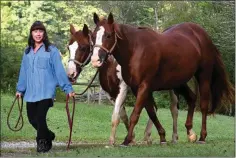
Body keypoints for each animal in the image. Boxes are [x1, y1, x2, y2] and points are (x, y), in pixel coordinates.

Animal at [90, 12, 234, 146]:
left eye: (108, 35)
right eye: (93, 35)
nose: (95, 60)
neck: (135, 50)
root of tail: (202, 34)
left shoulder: (144, 86)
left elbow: (135, 114)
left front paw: (127, 140)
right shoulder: (138, 88)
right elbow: (151, 113)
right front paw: (162, 137)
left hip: (203, 76)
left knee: (203, 105)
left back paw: (202, 137)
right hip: (178, 82)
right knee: (191, 98)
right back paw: (190, 133)